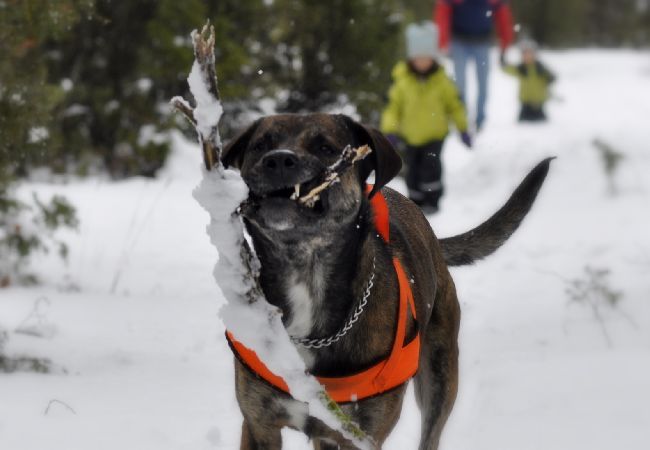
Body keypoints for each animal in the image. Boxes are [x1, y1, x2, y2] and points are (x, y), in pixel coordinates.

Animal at [220, 113, 548, 450]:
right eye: (260, 145)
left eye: (325, 147)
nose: (278, 160)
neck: (306, 271)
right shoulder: (260, 426)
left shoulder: (362, 434)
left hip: (439, 378)